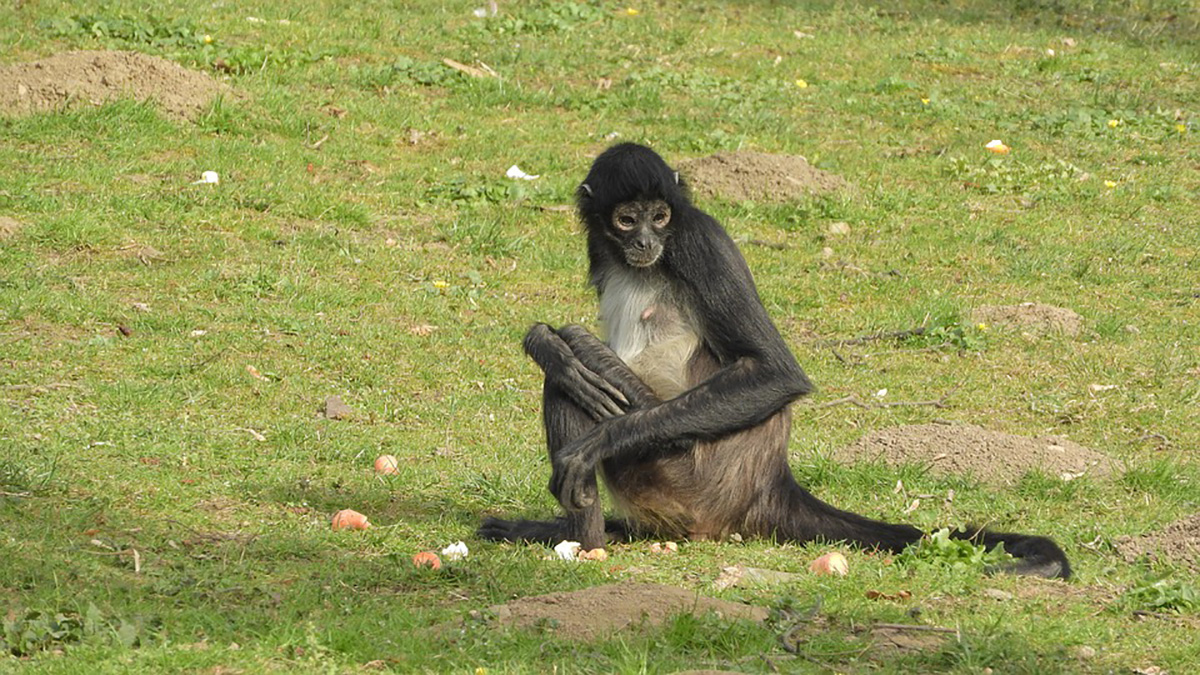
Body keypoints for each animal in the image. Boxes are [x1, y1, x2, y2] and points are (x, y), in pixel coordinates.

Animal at [477, 141, 1070, 578]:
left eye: (660, 216)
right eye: (627, 220)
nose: (645, 241)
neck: (640, 261)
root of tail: (769, 483)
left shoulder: (698, 240)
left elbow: (775, 374)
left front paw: (588, 428)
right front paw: (540, 339)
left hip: (682, 473)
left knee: (573, 375)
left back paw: (583, 541)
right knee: (569, 375)